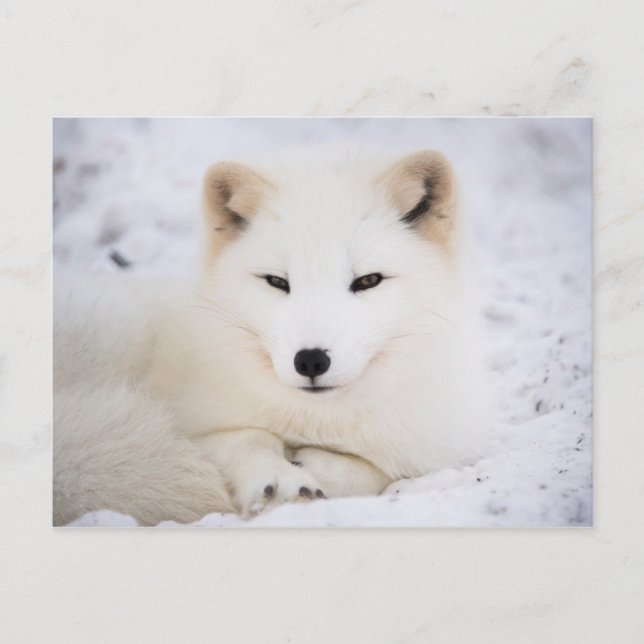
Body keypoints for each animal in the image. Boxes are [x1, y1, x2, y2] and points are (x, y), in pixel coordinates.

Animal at [53, 148, 487, 526]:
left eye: (368, 281)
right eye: (277, 282)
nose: (310, 360)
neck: (316, 422)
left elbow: (378, 471)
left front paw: (319, 468)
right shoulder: (195, 427)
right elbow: (246, 437)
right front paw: (280, 480)